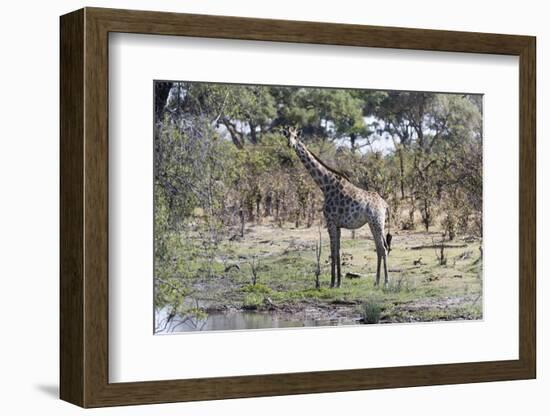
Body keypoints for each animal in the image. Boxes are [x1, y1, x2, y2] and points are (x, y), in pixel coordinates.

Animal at [284, 128, 392, 288]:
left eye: (296, 137)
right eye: (287, 136)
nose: (290, 145)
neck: (325, 185)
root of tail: (385, 204)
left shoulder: (330, 221)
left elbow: (333, 251)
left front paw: (332, 282)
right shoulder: (338, 224)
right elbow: (338, 251)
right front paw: (339, 282)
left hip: (377, 222)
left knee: (383, 248)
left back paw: (385, 282)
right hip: (373, 224)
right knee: (380, 248)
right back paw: (377, 281)